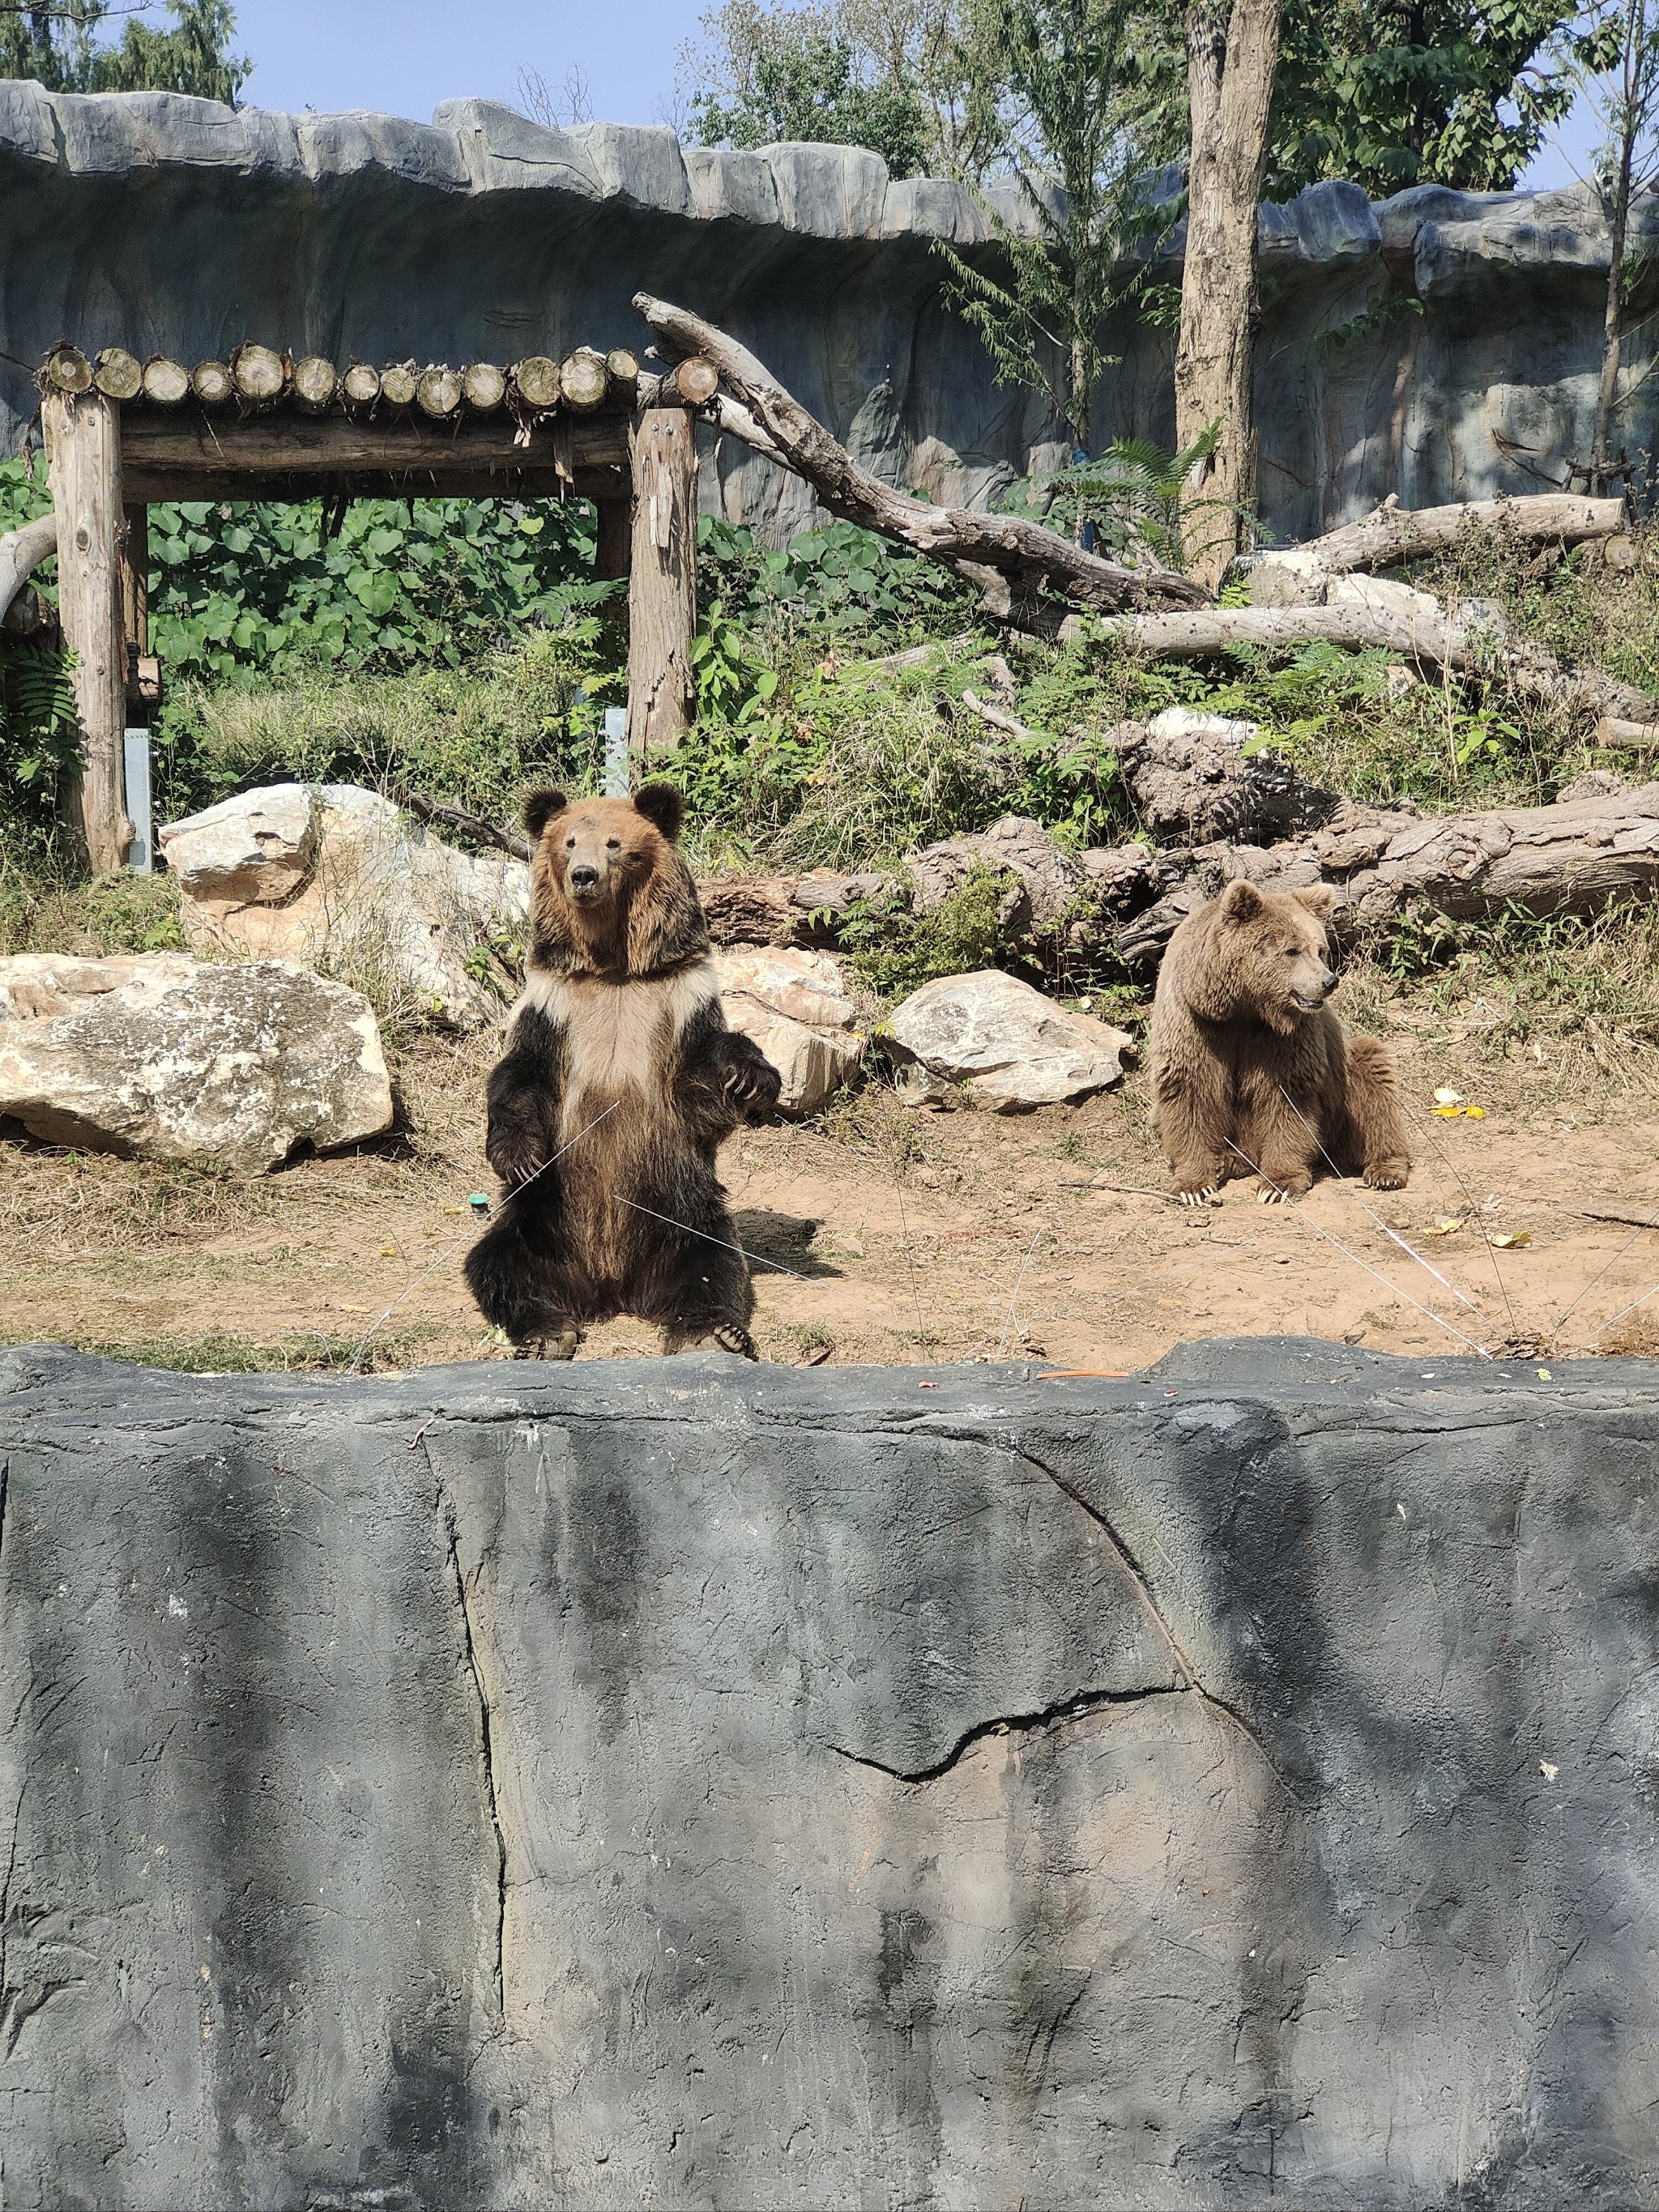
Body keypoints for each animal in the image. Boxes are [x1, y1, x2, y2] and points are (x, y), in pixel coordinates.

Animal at [462, 787, 787, 1353]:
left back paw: (712, 1332)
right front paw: (520, 1157)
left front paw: (750, 1078)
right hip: (541, 1219)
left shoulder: (676, 998)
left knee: (715, 1264)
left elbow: (702, 1076)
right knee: (501, 1265)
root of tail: (609, 1286)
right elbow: (520, 1079)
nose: (584, 876)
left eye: (615, 843)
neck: (611, 966)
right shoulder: (554, 1007)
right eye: (570, 842)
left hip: (681, 1208)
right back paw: (546, 1332)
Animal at [1158, 876, 1415, 1212]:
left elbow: (1287, 1098)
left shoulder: (1285, 1038)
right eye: (1292, 950)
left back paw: (1385, 1170)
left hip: (1344, 1084)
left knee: (1372, 1078)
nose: (1329, 982)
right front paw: (1194, 1185)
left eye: (1320, 949)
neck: (1243, 1007)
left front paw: (1276, 1185)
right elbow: (1189, 1091)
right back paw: (1228, 1160)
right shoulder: (1196, 1022)